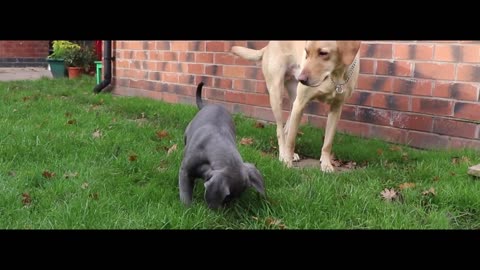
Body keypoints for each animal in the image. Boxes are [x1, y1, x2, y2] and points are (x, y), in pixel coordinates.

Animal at [179, 81, 264, 209]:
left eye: (234, 197)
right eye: (227, 197)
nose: (224, 209)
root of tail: (207, 106)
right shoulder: (185, 171)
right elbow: (185, 192)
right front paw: (187, 207)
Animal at [232, 41, 360, 172]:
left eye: (323, 53)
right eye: (306, 52)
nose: (301, 79)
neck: (335, 76)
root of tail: (268, 45)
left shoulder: (336, 109)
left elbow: (328, 143)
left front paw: (326, 164)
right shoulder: (300, 103)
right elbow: (291, 140)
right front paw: (287, 162)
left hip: (294, 100)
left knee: (286, 129)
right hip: (278, 94)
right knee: (280, 130)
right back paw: (283, 154)